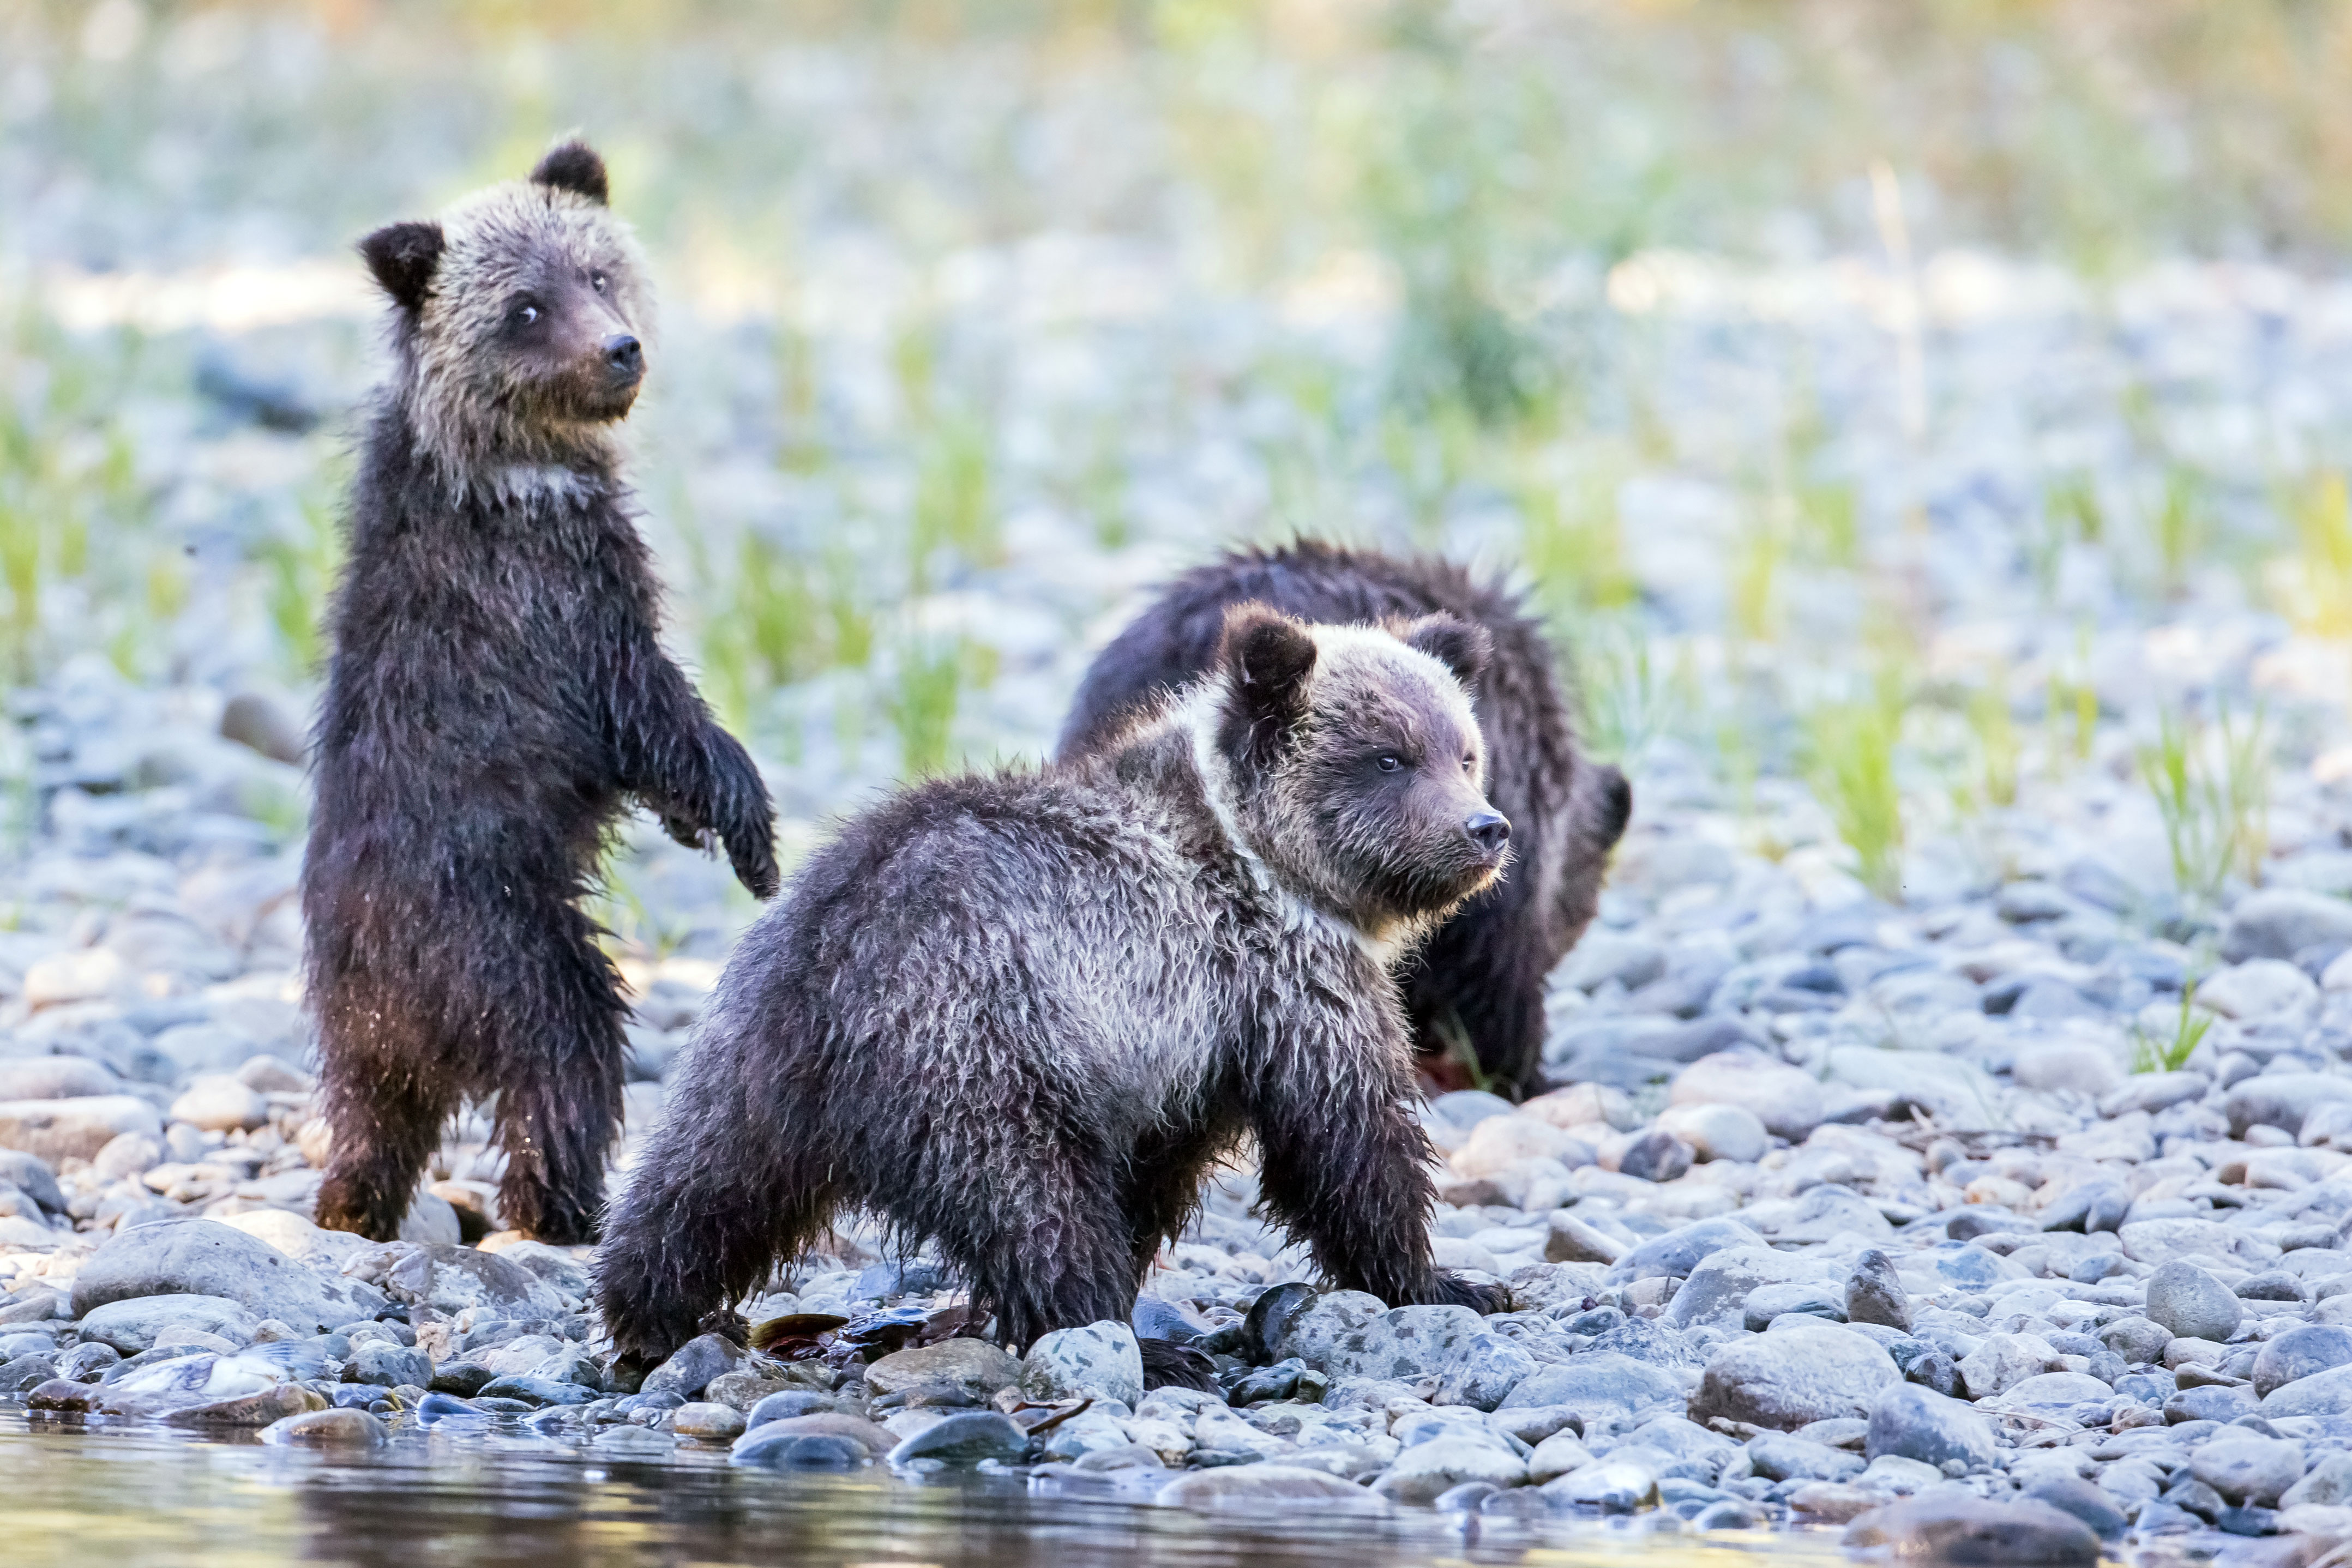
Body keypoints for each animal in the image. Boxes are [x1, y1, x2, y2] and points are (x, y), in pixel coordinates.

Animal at [298, 147, 780, 1250]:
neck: (507, 462)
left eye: (596, 271)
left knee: (371, 1110)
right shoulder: (556, 591)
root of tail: (397, 1001)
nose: (620, 350)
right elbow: (649, 708)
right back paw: (562, 1202)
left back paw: (353, 1201)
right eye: (524, 306)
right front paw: (749, 830)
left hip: (355, 1014)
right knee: (568, 1047)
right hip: (500, 936)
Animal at [606, 611, 1514, 1373]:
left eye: (1465, 751)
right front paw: (1447, 1281)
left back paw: (650, 1311)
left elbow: (1159, 1175)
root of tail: (831, 965)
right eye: (1388, 756)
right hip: (972, 1048)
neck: (1262, 855)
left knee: (702, 1189)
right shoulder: (1276, 973)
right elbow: (1348, 1139)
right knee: (1034, 1204)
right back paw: (1130, 1341)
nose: (1486, 828)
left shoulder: (1180, 1051)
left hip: (750, 1054)